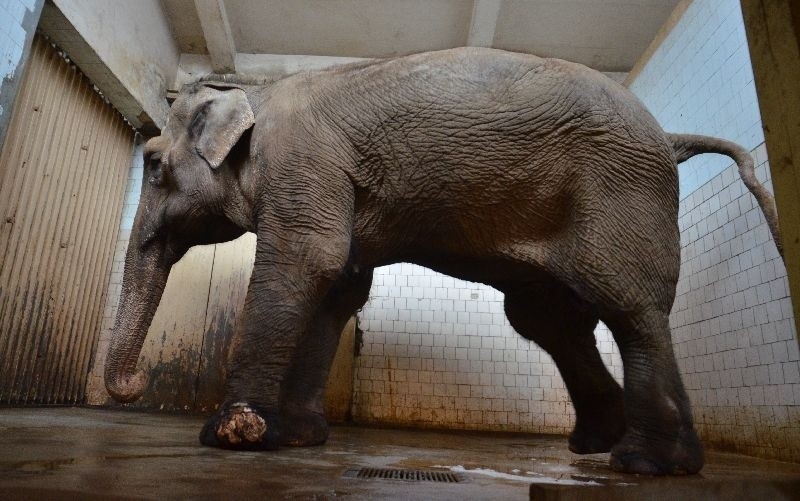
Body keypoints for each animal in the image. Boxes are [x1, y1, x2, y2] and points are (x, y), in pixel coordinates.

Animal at [103, 47, 784, 476]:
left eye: (155, 164)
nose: (133, 388)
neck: (254, 93)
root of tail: (671, 137)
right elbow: (339, 283)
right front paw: (297, 438)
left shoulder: (305, 163)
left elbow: (305, 264)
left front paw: (234, 434)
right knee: (551, 320)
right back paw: (599, 445)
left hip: (621, 192)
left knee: (629, 308)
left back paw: (645, 464)